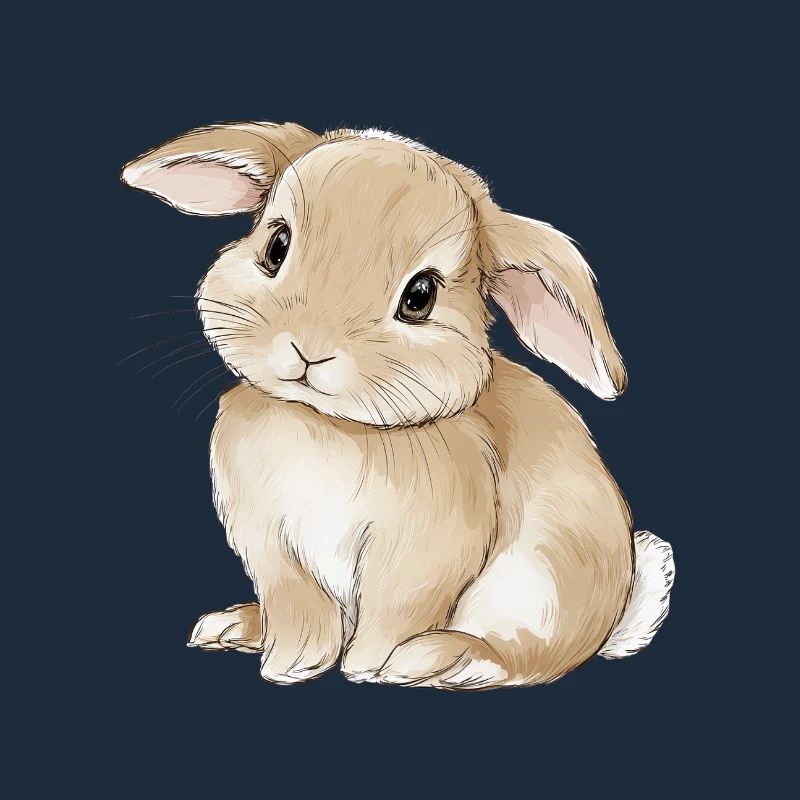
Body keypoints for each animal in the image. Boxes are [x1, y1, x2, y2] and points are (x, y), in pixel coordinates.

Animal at [121, 121, 674, 689]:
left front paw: (367, 667)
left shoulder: (424, 552)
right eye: (277, 245)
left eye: (420, 296)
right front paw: (291, 664)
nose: (308, 348)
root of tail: (610, 619)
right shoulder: (273, 548)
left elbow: (395, 610)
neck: (330, 424)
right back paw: (235, 626)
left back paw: (431, 658)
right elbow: (299, 606)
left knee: (519, 659)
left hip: (537, 587)